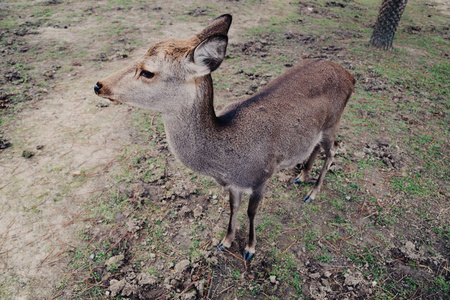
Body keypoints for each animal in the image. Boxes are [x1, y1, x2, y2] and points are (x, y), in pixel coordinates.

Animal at [94, 14, 356, 262]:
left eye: (148, 71)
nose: (98, 85)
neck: (227, 160)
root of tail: (351, 77)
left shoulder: (262, 175)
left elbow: (252, 212)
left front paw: (250, 249)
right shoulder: (234, 184)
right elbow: (233, 207)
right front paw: (225, 241)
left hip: (334, 122)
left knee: (334, 148)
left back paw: (312, 193)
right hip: (318, 129)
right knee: (317, 146)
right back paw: (301, 176)